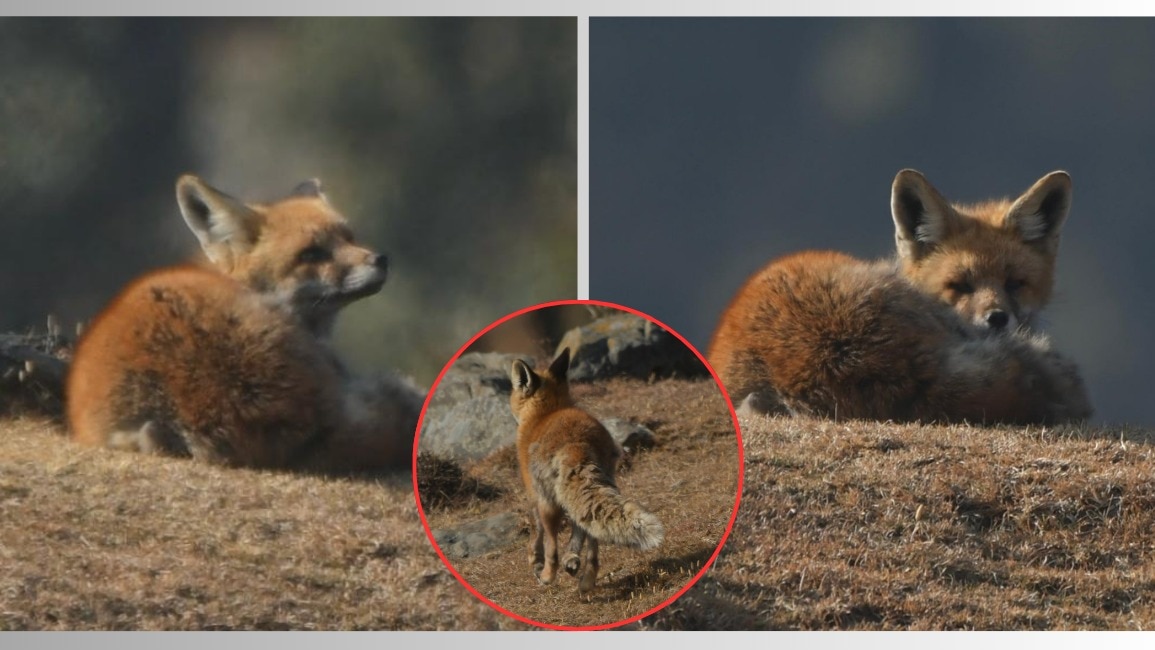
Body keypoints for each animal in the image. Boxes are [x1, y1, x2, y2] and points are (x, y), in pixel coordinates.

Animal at [509, 347, 664, 596]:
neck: (544, 414)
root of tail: (577, 444)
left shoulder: (535, 495)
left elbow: (537, 533)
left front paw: (536, 561)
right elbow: (577, 532)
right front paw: (571, 558)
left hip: (549, 503)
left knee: (554, 546)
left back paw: (548, 575)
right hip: (603, 484)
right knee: (592, 538)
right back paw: (587, 578)